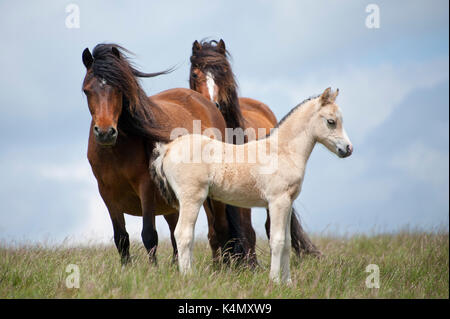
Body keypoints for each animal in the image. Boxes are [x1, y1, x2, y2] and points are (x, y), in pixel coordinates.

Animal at [82, 43, 248, 266]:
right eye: (87, 90)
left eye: (118, 89)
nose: (106, 132)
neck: (115, 152)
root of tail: (207, 103)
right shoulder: (107, 193)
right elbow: (121, 238)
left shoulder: (146, 187)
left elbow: (149, 235)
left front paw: (152, 270)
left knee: (220, 230)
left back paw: (222, 268)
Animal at [151, 88, 352, 284]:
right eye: (331, 121)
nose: (348, 149)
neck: (281, 151)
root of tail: (167, 149)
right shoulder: (277, 202)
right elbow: (277, 241)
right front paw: (275, 281)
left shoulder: (288, 202)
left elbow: (287, 242)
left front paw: (288, 282)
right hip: (192, 199)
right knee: (183, 234)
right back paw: (189, 276)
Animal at [188, 38, 322, 258]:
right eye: (195, 74)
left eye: (224, 71)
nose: (212, 106)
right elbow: (214, 232)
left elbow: (247, 230)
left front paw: (249, 262)